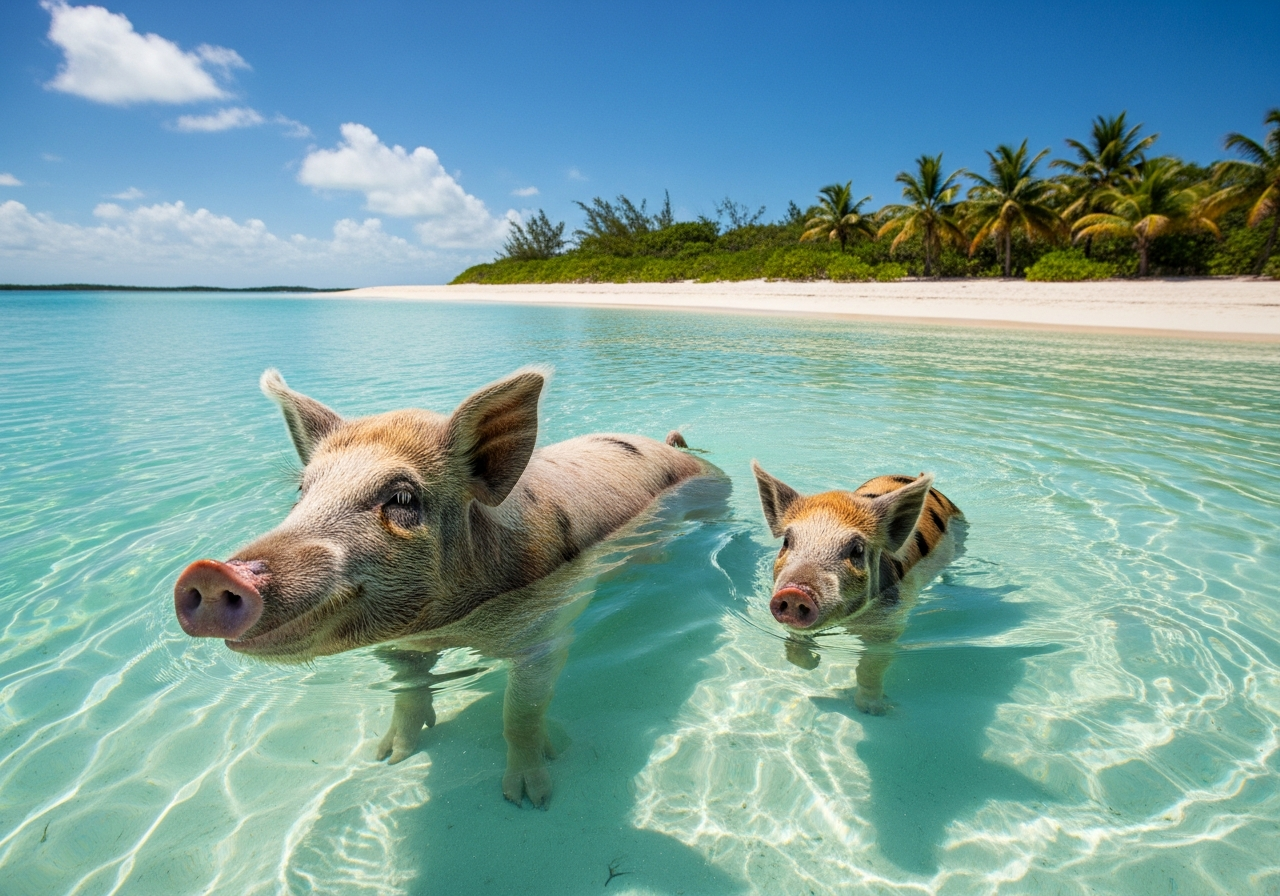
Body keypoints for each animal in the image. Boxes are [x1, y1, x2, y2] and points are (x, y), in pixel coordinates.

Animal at [173, 367, 720, 807]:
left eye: (402, 498)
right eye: (303, 491)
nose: (209, 572)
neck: (450, 626)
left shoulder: (546, 628)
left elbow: (520, 711)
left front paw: (529, 797)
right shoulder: (399, 643)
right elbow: (408, 689)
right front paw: (389, 757)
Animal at [750, 463, 964, 714]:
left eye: (857, 550)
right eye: (786, 542)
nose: (795, 591)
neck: (847, 622)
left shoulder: (888, 624)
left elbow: (871, 665)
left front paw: (875, 710)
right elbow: (795, 645)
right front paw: (814, 660)